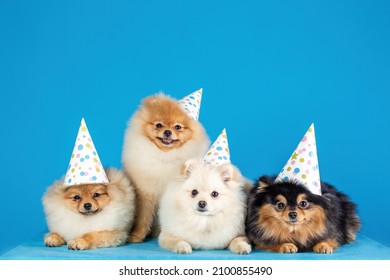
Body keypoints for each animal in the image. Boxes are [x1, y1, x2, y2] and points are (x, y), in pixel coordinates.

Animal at [123, 92, 212, 243]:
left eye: (178, 127)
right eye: (159, 125)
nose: (168, 132)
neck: (166, 156)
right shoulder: (147, 193)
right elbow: (143, 218)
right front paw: (137, 235)